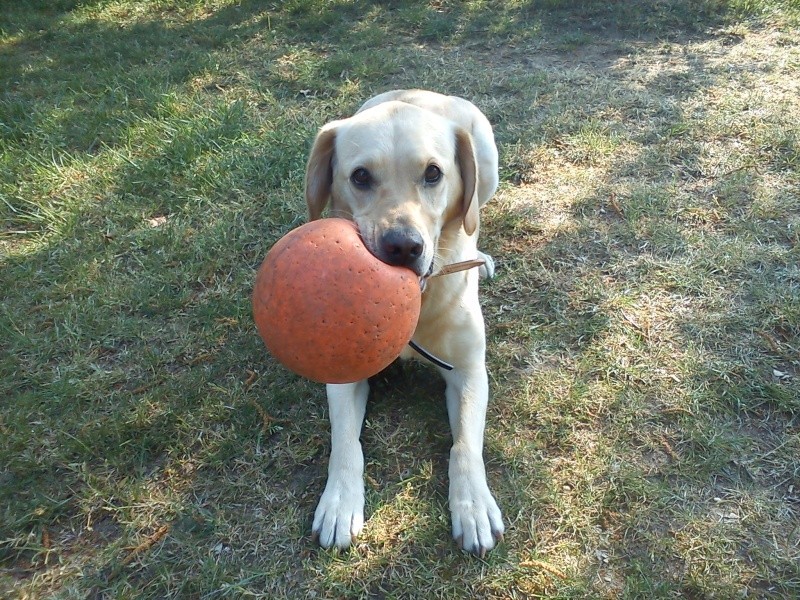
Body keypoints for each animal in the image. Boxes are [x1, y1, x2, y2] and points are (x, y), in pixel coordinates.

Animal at [304, 89, 504, 556]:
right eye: (360, 177)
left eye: (433, 173)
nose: (403, 247)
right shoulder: (343, 374)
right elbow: (346, 443)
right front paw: (340, 501)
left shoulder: (470, 372)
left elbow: (465, 446)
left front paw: (473, 504)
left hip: (488, 164)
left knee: (477, 214)